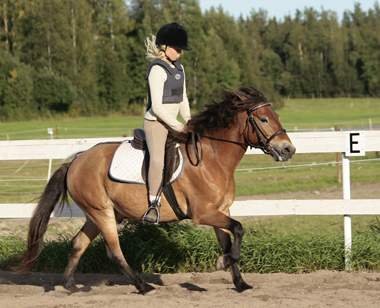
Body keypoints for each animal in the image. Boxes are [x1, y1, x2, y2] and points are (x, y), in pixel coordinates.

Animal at [17, 85, 296, 294]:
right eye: (263, 119)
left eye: (278, 117)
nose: (288, 150)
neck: (213, 157)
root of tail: (75, 162)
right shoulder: (203, 213)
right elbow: (238, 228)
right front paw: (222, 263)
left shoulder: (221, 210)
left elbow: (230, 240)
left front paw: (240, 283)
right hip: (102, 214)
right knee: (114, 252)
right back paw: (143, 286)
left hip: (98, 214)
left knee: (77, 244)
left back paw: (70, 285)